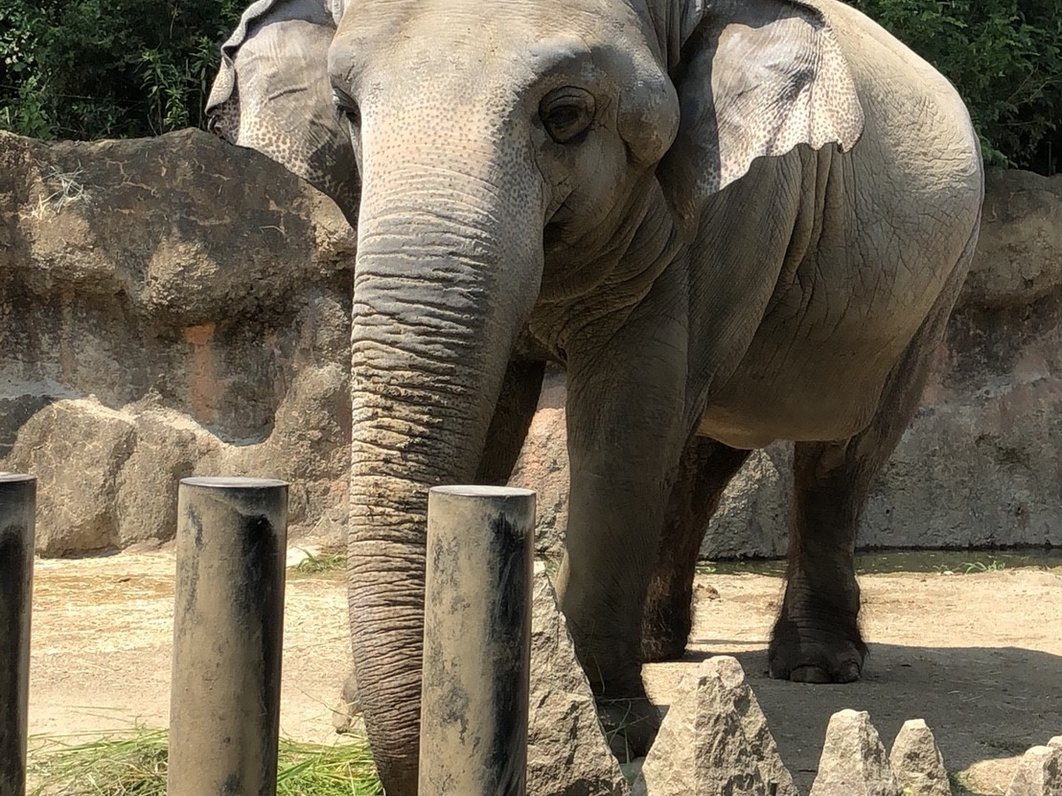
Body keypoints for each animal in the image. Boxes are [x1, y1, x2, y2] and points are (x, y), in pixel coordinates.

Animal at [202, 1, 981, 793]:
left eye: (567, 114)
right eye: (348, 110)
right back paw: (661, 647)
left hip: (935, 290)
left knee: (841, 451)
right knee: (704, 452)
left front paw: (611, 728)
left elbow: (624, 417)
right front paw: (362, 713)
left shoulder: (738, 206)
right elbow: (497, 413)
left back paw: (816, 668)